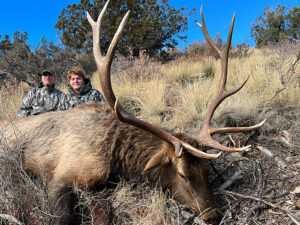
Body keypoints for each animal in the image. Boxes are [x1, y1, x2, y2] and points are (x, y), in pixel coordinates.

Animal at [1, 0, 264, 224]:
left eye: (206, 170)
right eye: (182, 174)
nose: (212, 215)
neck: (116, 154)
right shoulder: (61, 175)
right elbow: (63, 217)